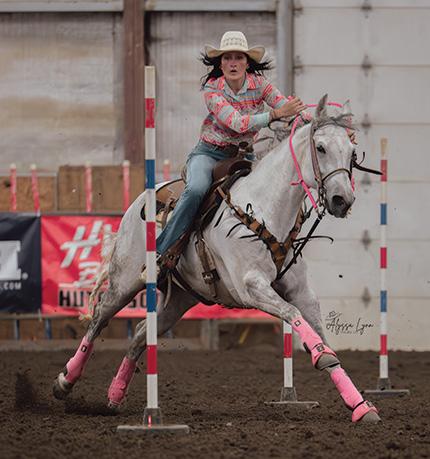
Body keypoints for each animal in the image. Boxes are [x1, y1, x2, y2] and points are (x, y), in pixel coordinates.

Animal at [53, 95, 380, 423]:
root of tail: (138, 203)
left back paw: (115, 395)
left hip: (180, 299)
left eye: (352, 152)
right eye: (321, 147)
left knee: (141, 336)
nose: (342, 200)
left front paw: (360, 405)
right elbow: (293, 314)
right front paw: (323, 359)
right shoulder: (251, 287)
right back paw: (65, 382)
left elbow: (319, 332)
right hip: (125, 281)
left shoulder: (301, 291)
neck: (264, 209)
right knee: (99, 319)